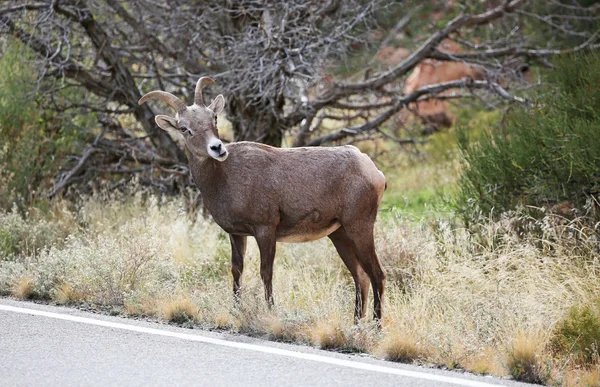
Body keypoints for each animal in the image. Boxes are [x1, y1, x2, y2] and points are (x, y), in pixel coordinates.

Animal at [139, 77, 386, 322]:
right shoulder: (237, 234)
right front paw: (236, 310)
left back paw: (375, 326)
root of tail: (375, 172)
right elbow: (237, 270)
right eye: (184, 128)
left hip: (359, 228)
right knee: (361, 277)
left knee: (377, 275)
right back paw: (356, 324)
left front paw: (270, 312)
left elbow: (266, 272)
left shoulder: (265, 230)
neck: (223, 179)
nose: (217, 148)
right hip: (340, 234)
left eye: (214, 118)